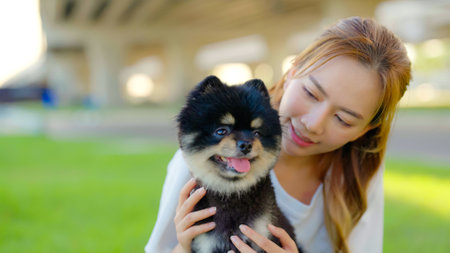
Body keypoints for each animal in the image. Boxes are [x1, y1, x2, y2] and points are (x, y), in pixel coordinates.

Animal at [176, 75, 302, 253]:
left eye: (257, 133)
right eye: (221, 131)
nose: (246, 144)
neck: (231, 193)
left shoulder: (263, 233)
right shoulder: (205, 243)